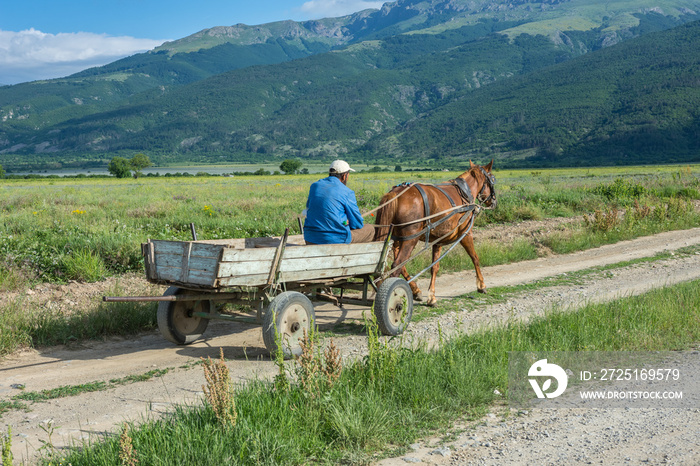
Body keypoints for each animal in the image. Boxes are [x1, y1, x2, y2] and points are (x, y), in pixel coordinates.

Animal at [374, 160, 494, 306]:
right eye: (492, 179)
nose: (494, 201)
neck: (464, 194)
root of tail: (395, 194)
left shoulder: (438, 240)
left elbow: (434, 267)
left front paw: (431, 297)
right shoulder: (466, 234)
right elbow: (475, 258)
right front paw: (481, 285)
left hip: (397, 238)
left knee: (399, 265)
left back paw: (415, 291)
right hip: (410, 239)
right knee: (397, 266)